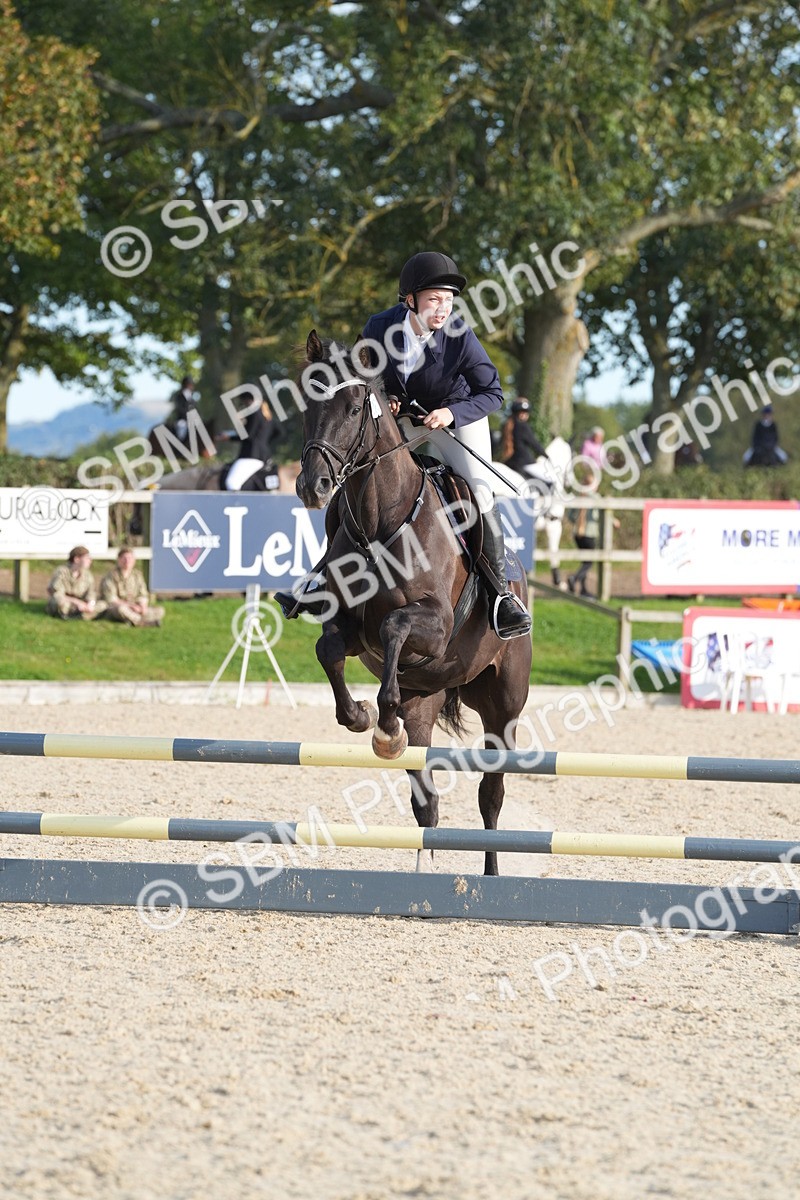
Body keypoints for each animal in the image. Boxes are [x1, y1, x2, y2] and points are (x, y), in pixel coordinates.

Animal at [294, 330, 532, 875]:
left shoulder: (436, 624)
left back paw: (491, 875)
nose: (313, 487)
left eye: (354, 406)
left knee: (491, 793)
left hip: (504, 700)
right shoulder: (348, 627)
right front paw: (363, 719)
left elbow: (395, 627)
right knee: (427, 800)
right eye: (308, 404)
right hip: (426, 701)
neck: (382, 521)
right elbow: (329, 649)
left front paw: (380, 720)